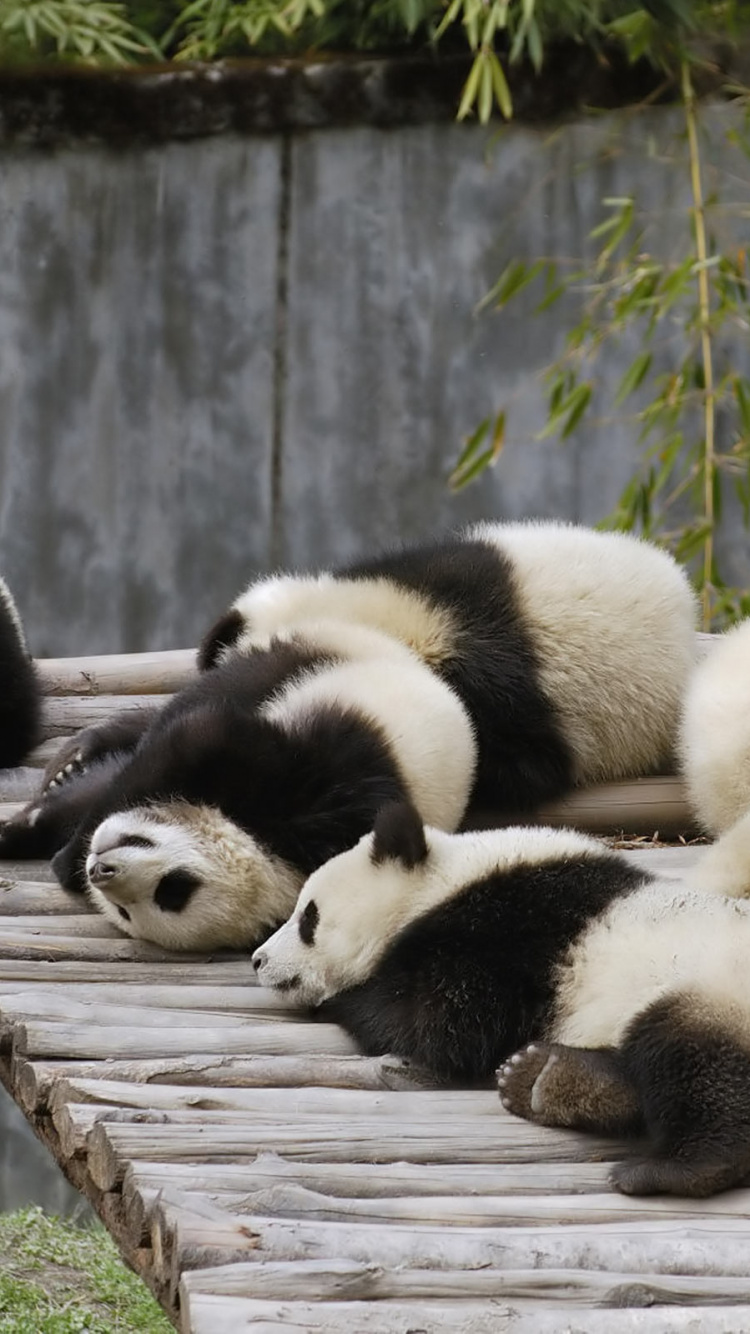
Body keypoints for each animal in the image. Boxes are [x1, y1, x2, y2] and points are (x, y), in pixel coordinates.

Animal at [0, 622, 476, 950]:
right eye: (176, 885)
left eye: (164, 895)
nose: (99, 871)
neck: (272, 847)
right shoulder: (310, 784)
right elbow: (193, 738)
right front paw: (51, 843)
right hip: (308, 661)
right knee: (194, 702)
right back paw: (81, 756)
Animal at [253, 800, 750, 1199]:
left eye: (309, 918)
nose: (258, 961)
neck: (443, 881)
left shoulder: (505, 931)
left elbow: (441, 1022)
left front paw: (344, 998)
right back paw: (548, 1079)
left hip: (712, 989)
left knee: (692, 1057)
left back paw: (674, 1168)